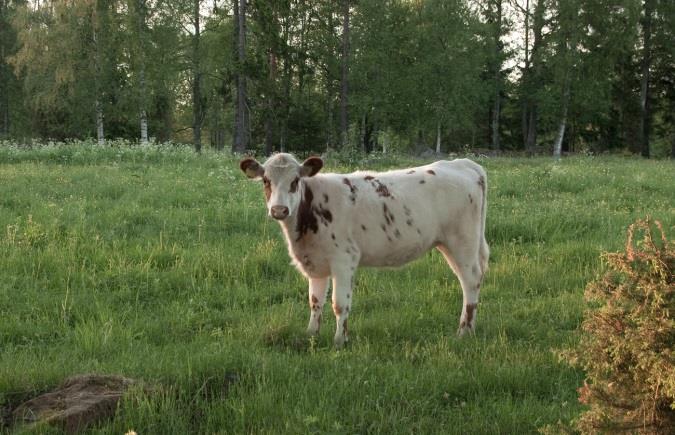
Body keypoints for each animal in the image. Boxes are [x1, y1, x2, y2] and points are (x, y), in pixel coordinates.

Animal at [240, 152, 488, 348]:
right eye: (266, 180)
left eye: (295, 180)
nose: (279, 210)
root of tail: (463, 164)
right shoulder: (315, 262)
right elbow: (315, 301)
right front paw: (311, 335)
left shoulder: (344, 259)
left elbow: (339, 304)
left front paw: (340, 341)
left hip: (462, 241)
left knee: (470, 281)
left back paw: (464, 331)